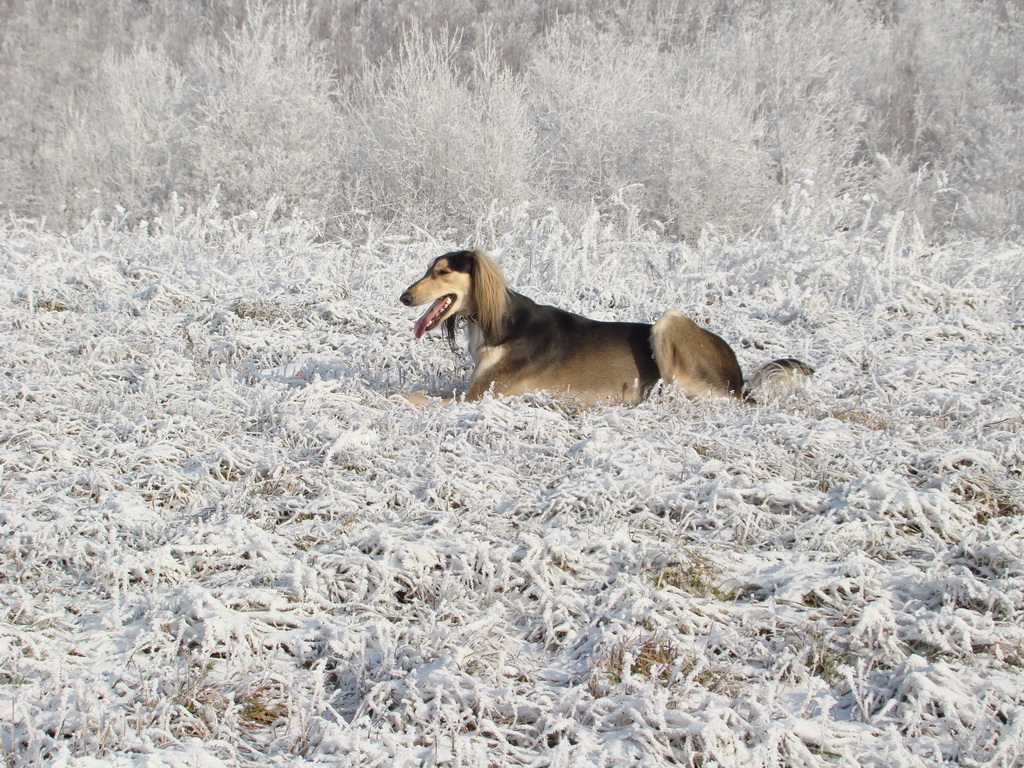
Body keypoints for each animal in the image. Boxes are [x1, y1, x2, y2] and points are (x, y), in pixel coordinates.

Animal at [399, 252, 806, 409]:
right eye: (428, 269)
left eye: (441, 272)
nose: (404, 296)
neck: (497, 323)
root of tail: (739, 377)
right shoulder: (471, 390)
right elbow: (419, 390)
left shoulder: (480, 396)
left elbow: (414, 397)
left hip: (670, 322)